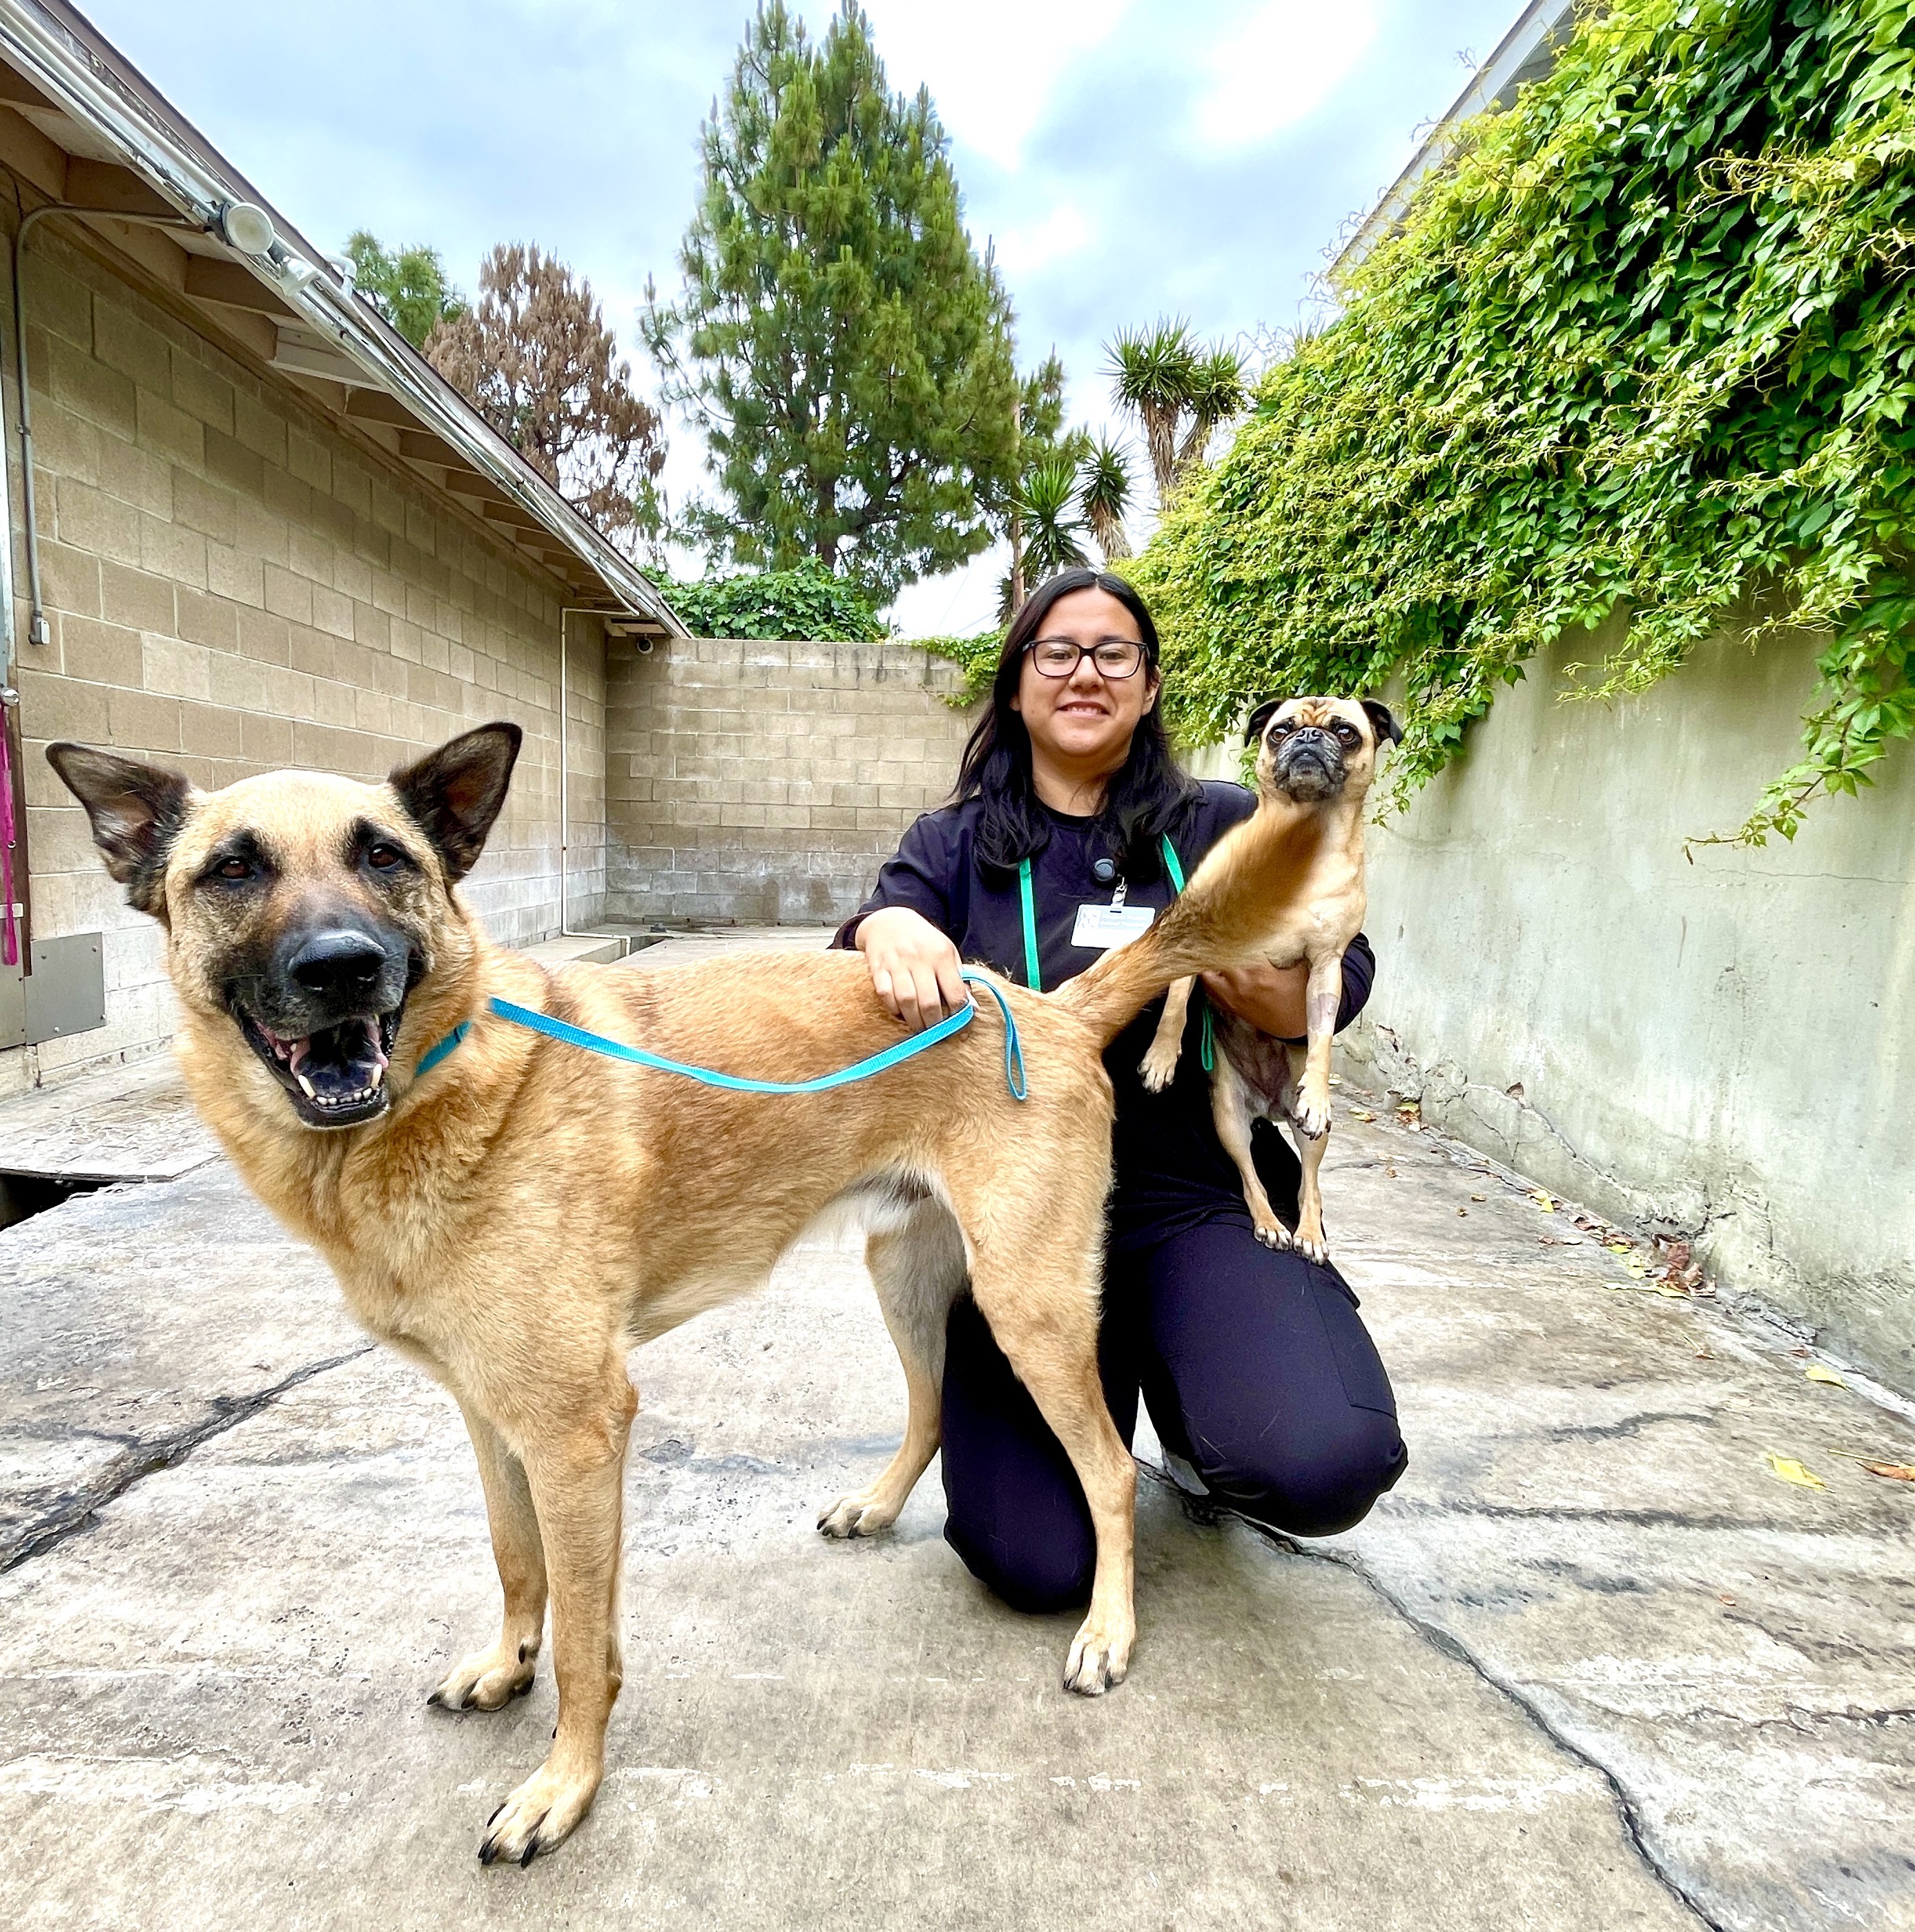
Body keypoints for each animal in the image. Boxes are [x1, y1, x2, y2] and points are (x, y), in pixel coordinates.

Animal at [52, 718, 1321, 1862]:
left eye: (384, 857)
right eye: (233, 869)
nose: (341, 967)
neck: (438, 1092)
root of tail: (1043, 1007)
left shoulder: (577, 1427)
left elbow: (585, 1643)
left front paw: (561, 1787)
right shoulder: (489, 1414)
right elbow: (516, 1563)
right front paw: (505, 1666)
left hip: (1030, 1308)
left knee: (1104, 1470)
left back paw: (1107, 1632)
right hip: (905, 1273)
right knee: (925, 1406)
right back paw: (874, 1505)